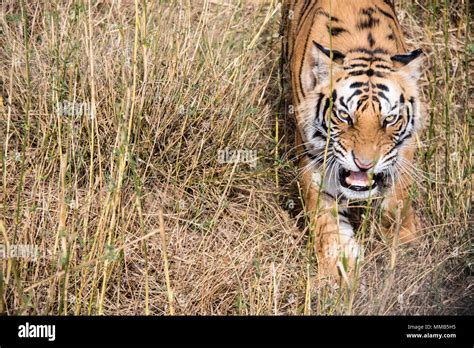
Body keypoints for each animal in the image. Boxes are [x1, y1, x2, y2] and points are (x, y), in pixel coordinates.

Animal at [282, 0, 426, 278]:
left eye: (389, 119)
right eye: (344, 116)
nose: (364, 164)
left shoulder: (403, 151)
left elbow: (397, 203)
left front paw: (406, 246)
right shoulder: (314, 158)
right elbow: (326, 219)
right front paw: (338, 269)